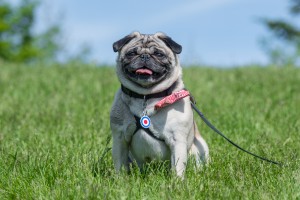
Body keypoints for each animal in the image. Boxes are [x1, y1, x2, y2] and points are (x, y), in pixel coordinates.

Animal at [109, 31, 209, 177]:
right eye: (131, 53)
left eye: (159, 54)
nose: (144, 56)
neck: (146, 97)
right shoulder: (119, 138)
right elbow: (120, 164)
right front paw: (120, 180)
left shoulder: (177, 140)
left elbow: (177, 167)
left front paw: (177, 181)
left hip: (202, 148)